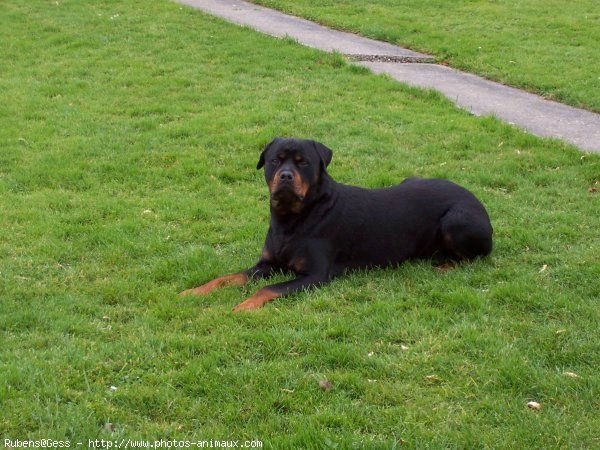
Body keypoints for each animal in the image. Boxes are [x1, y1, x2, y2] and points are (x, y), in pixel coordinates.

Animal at [182, 139, 492, 312]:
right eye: (275, 160)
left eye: (303, 162)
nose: (285, 176)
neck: (293, 219)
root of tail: (477, 201)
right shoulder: (268, 264)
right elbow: (226, 278)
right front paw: (193, 291)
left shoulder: (315, 276)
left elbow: (268, 289)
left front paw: (243, 305)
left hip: (456, 220)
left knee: (475, 257)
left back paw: (445, 265)